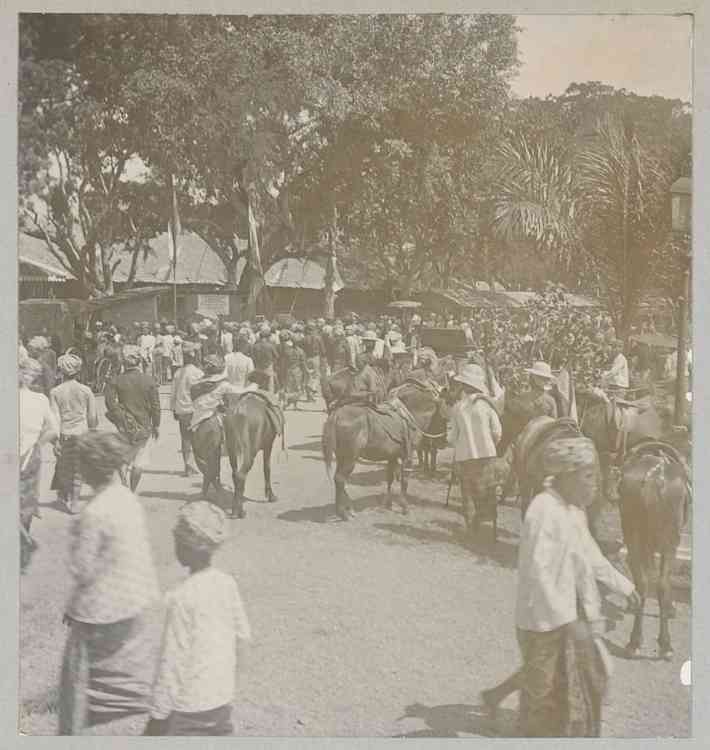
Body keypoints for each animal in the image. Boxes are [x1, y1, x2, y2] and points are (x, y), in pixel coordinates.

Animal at [322, 382, 444, 524]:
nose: (443, 442)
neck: (411, 413)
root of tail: (336, 415)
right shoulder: (407, 456)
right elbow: (404, 481)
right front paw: (405, 507)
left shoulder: (392, 456)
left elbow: (389, 478)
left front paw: (388, 503)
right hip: (350, 458)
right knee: (340, 479)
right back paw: (343, 513)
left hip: (341, 457)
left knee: (339, 480)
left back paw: (349, 509)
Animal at [620, 440, 692, 664]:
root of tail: (654, 476)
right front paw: (671, 608)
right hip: (670, 541)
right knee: (661, 583)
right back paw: (665, 643)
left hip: (633, 534)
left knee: (644, 582)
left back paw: (634, 642)